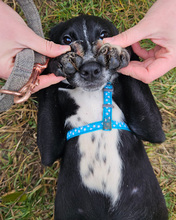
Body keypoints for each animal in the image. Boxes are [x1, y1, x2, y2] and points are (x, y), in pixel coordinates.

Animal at [36, 14, 168, 219]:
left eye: (104, 35)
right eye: (67, 39)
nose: (90, 69)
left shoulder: (153, 129)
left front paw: (117, 53)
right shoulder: (49, 149)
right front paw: (59, 61)